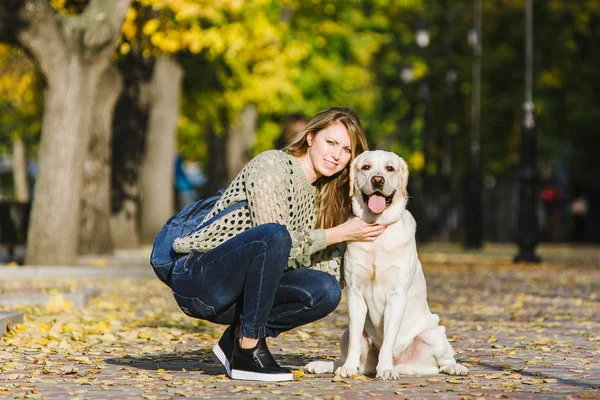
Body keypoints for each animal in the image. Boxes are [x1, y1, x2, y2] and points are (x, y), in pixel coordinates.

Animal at [304, 150, 468, 378]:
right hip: (346, 333)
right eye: (366, 167)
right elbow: (355, 343)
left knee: (443, 360)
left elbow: (389, 338)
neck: (377, 229)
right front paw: (348, 369)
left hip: (434, 332)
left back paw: (454, 367)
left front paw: (386, 370)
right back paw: (324, 365)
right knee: (344, 355)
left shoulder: (396, 296)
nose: (377, 180)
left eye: (390, 168)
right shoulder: (355, 294)